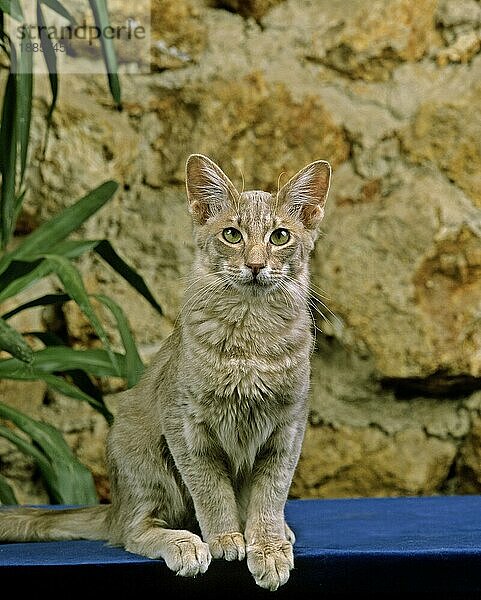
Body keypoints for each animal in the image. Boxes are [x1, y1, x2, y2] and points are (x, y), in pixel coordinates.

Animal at [0, 154, 330, 592]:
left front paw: (268, 546)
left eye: (280, 237)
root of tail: (115, 505)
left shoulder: (288, 427)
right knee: (133, 532)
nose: (256, 264)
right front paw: (226, 538)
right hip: (146, 460)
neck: (249, 342)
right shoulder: (186, 425)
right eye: (232, 235)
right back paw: (186, 543)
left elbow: (270, 496)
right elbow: (212, 491)